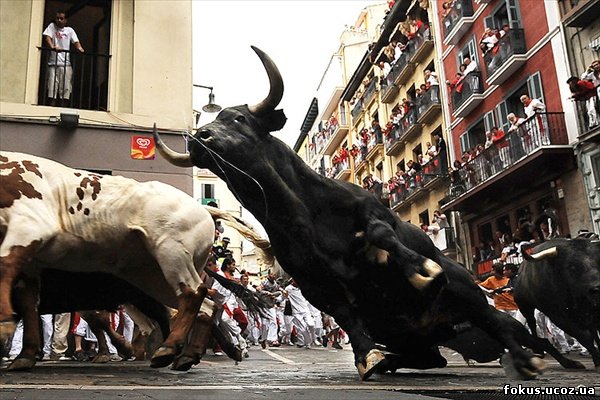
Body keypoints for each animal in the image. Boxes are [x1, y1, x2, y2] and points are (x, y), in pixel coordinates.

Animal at [153, 46, 547, 380]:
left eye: (237, 119)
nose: (200, 139)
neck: (304, 218)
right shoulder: (312, 284)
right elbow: (345, 313)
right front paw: (369, 356)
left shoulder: (374, 212)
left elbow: (380, 234)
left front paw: (422, 269)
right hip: (409, 332)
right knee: (431, 356)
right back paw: (394, 359)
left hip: (467, 291)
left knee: (498, 323)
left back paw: (527, 358)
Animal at [514, 237, 600, 371]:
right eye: (571, 266)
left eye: (598, 261)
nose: (597, 288)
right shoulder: (558, 316)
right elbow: (584, 336)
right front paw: (598, 359)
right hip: (524, 304)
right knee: (533, 325)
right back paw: (543, 353)